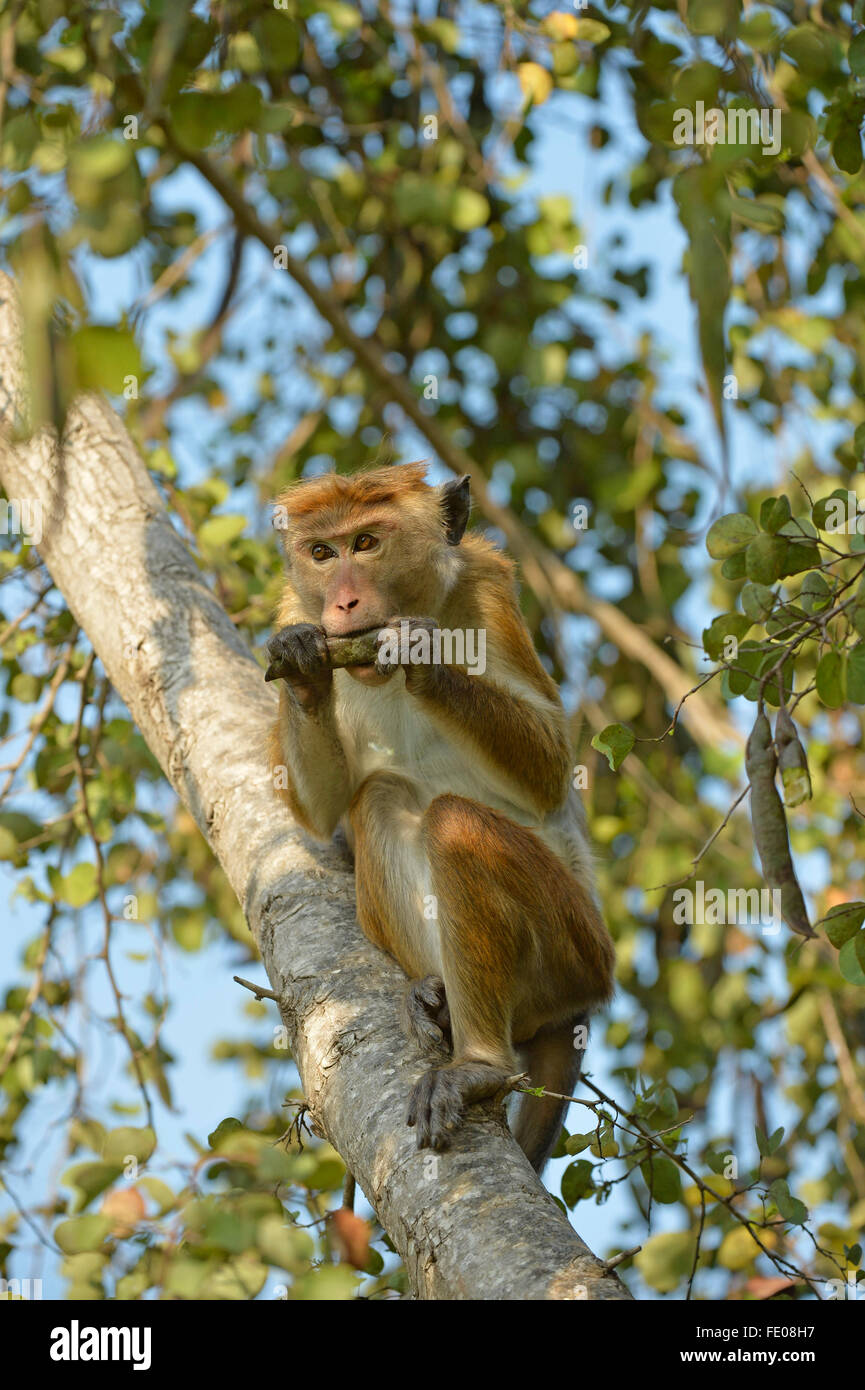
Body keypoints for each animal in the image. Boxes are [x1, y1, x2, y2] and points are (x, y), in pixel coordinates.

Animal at [267, 462, 615, 1174]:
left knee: (454, 822)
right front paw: (305, 669)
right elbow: (320, 807)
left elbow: (549, 765)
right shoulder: (297, 606)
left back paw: (479, 1063)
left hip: (576, 947)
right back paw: (433, 997)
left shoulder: (488, 590)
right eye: (322, 554)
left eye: (366, 543)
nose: (343, 604)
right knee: (377, 797)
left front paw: (422, 657)